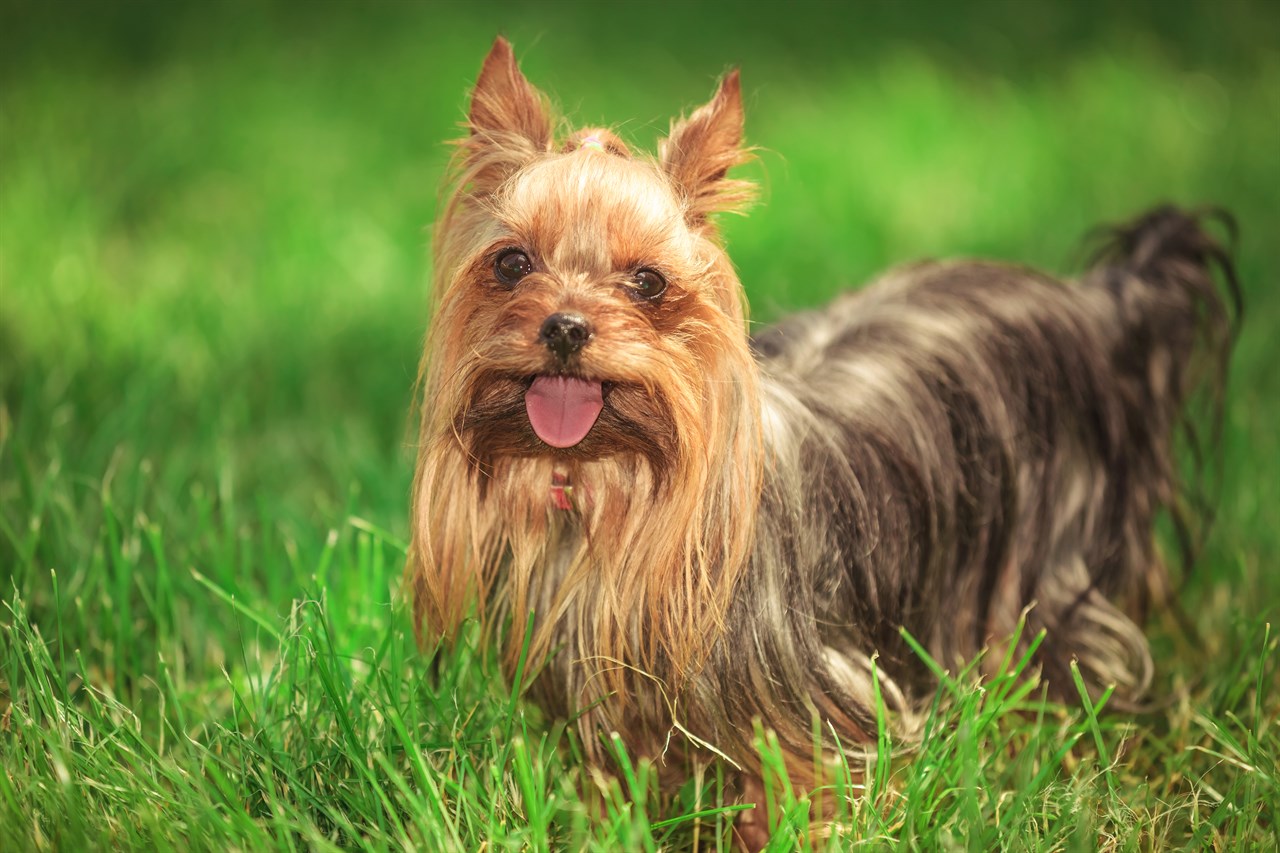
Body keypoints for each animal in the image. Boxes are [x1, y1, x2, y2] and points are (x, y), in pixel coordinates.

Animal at [407, 36, 1239, 840]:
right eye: (511, 263)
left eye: (648, 282)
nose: (565, 328)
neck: (611, 481)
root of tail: (1099, 299)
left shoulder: (817, 688)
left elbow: (806, 776)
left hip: (1045, 566)